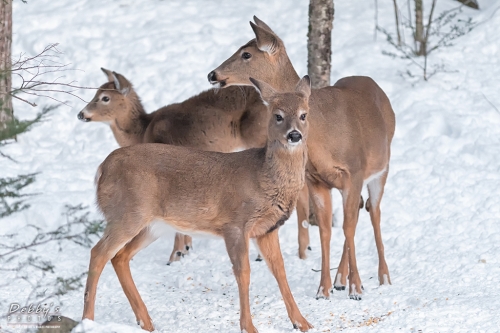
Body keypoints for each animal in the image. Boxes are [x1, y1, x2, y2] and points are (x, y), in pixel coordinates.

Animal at [76, 68, 270, 264]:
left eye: (105, 97)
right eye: (96, 92)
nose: (81, 114)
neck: (143, 131)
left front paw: (177, 254)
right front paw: (185, 249)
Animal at [207, 16, 394, 300]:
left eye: (246, 53)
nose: (213, 74)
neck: (323, 135)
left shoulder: (354, 171)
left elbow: (348, 227)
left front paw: (357, 288)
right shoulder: (316, 179)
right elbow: (326, 231)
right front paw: (324, 289)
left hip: (382, 168)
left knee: (375, 212)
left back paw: (383, 277)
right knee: (359, 213)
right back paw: (340, 278)